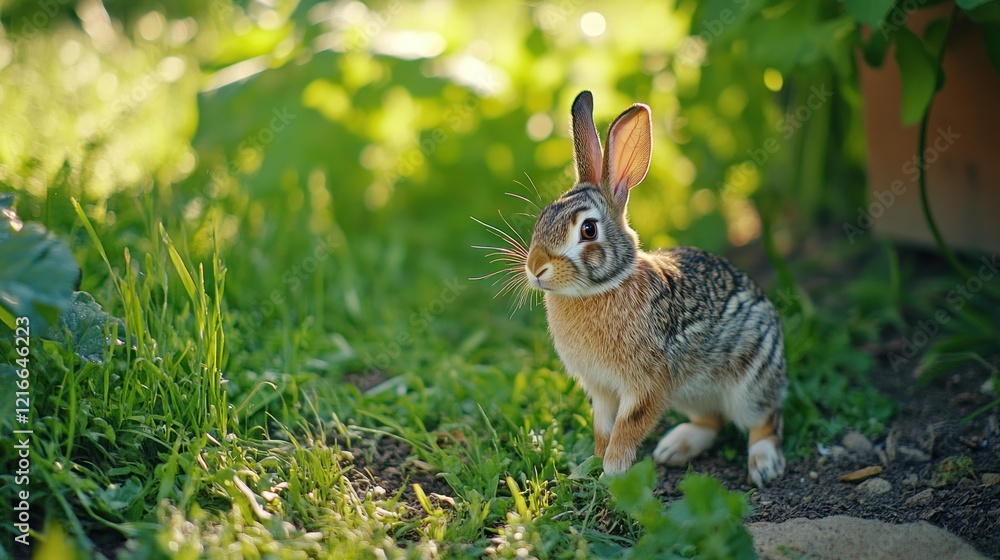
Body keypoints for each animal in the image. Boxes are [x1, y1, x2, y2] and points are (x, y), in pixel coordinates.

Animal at [523, 91, 787, 485]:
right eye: (543, 218)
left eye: (588, 230)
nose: (535, 268)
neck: (602, 288)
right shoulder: (601, 390)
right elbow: (603, 428)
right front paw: (593, 464)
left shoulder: (648, 384)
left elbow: (628, 426)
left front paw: (614, 472)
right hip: (691, 394)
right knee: (712, 421)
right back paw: (674, 449)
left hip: (750, 383)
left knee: (765, 420)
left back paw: (763, 464)